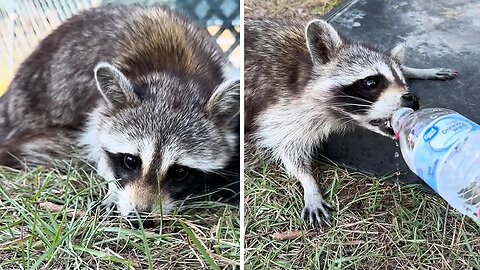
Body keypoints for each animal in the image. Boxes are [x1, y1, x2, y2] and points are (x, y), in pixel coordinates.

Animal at [0, 5, 240, 223]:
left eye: (179, 172)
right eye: (130, 161)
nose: (140, 218)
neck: (177, 74)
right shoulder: (97, 108)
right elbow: (94, 143)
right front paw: (112, 186)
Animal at [246, 17, 456, 227]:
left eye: (402, 82)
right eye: (371, 82)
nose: (412, 99)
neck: (308, 68)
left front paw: (414, 70)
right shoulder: (282, 107)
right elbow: (287, 146)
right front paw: (308, 182)